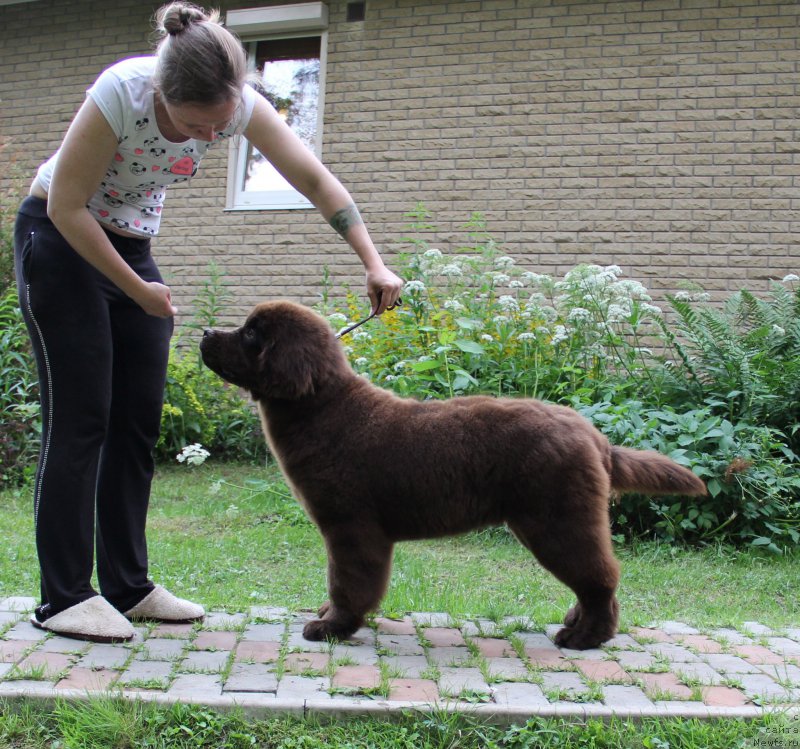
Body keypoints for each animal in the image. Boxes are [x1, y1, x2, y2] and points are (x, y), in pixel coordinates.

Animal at [202, 300, 708, 648]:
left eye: (251, 335)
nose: (206, 332)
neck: (321, 409)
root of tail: (594, 435)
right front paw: (331, 617)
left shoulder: (351, 527)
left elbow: (348, 582)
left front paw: (333, 626)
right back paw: (576, 623)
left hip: (558, 520)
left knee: (600, 577)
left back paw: (585, 638)